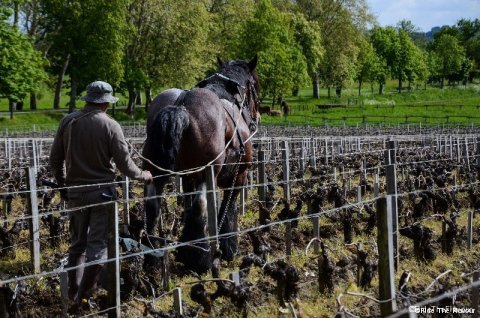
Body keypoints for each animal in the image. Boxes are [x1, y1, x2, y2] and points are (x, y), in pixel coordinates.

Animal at [142, 56, 260, 274]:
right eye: (255, 85)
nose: (256, 116)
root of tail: (180, 107)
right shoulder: (239, 175)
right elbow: (228, 208)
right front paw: (228, 247)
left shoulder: (186, 177)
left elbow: (188, 206)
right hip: (205, 173)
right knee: (200, 206)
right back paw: (200, 257)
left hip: (156, 171)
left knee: (153, 207)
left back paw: (152, 256)